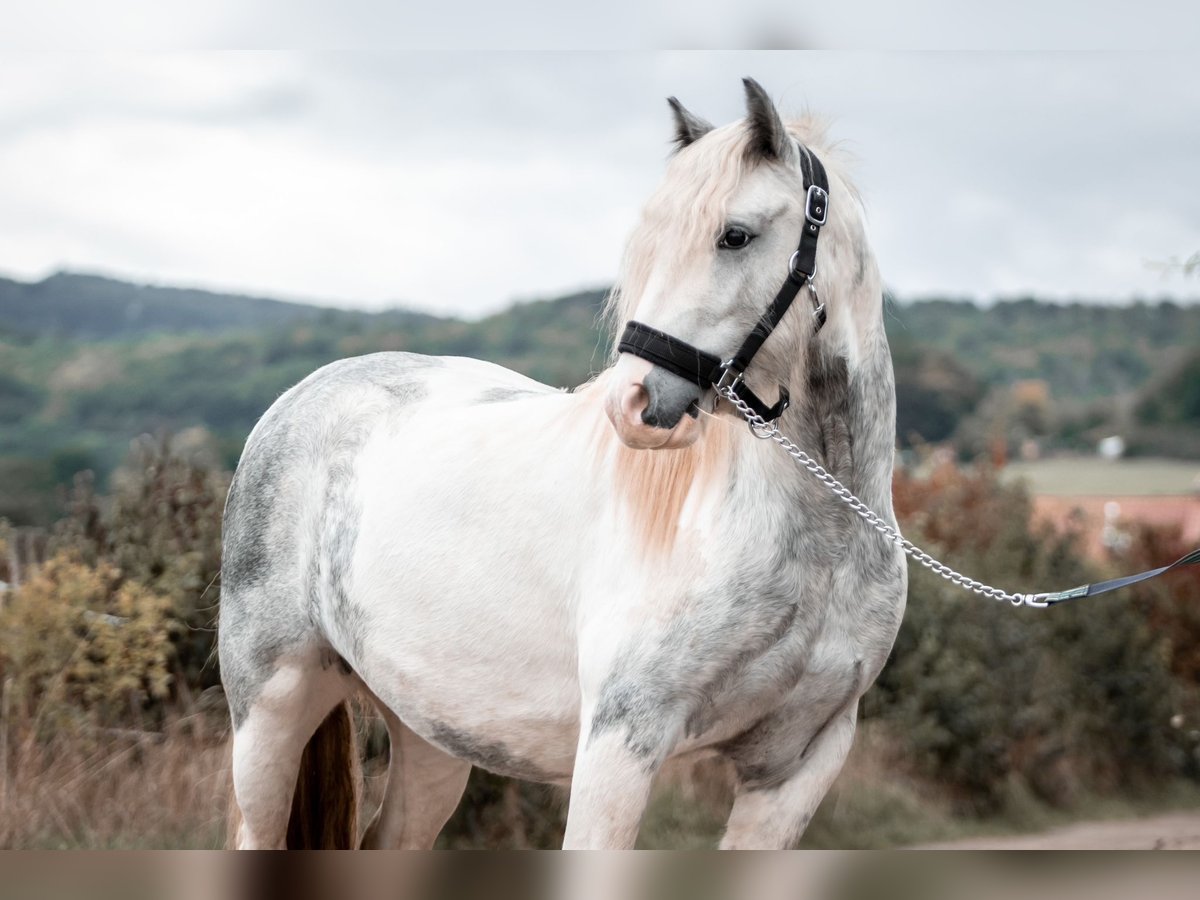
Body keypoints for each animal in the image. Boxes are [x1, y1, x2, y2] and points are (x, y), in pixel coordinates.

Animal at [220, 79, 902, 854]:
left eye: (735, 234)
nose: (633, 402)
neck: (813, 542)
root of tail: (302, 397)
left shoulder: (795, 766)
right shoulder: (621, 742)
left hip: (430, 733)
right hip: (271, 710)